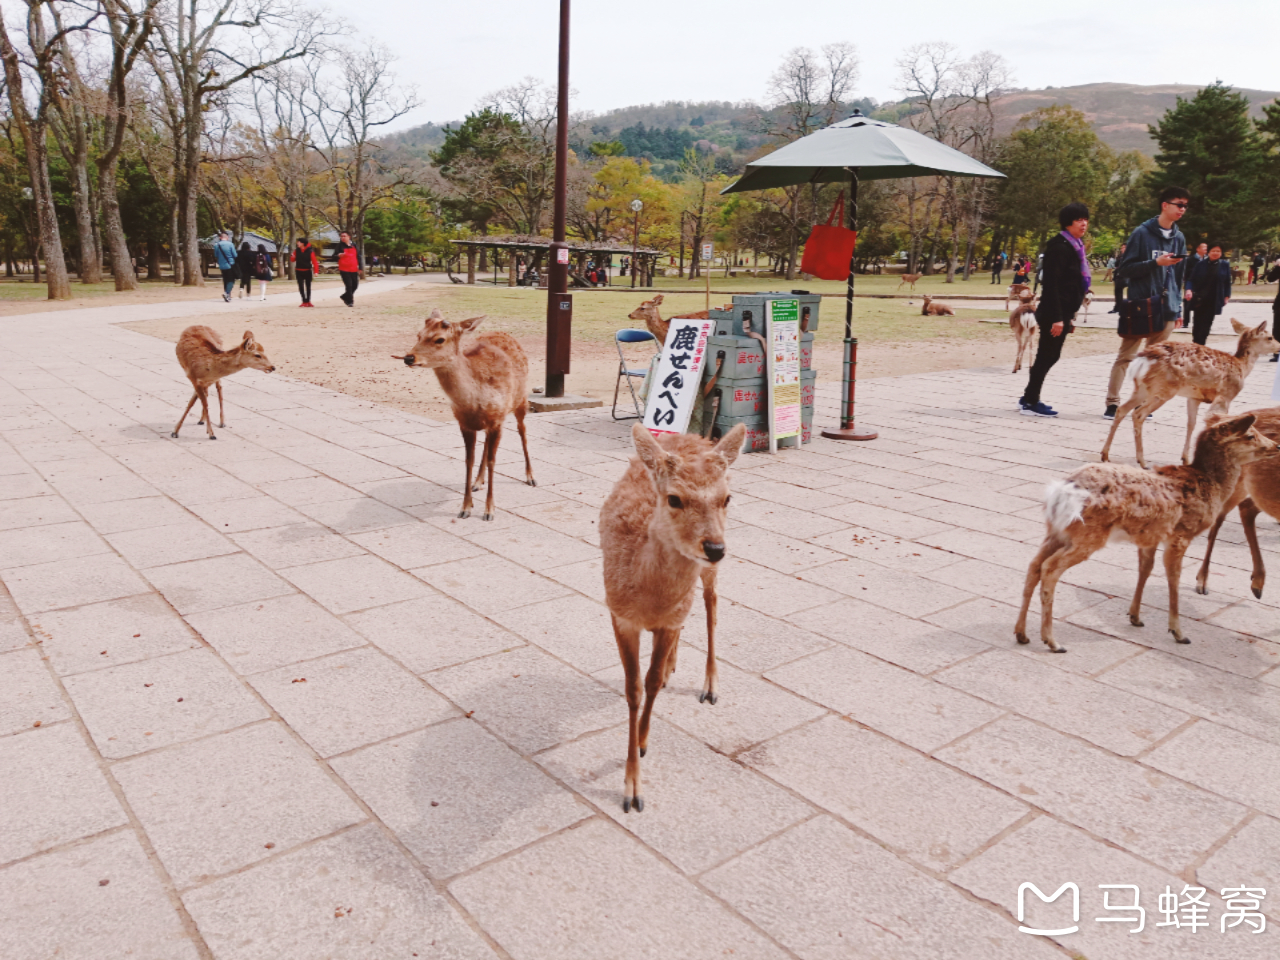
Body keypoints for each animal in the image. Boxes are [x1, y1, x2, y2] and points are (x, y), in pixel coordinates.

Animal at [401, 309, 537, 519]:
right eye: (418, 335)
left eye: (439, 339)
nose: (408, 358)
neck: (474, 400)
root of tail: (505, 333)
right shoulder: (464, 423)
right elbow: (468, 460)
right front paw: (465, 507)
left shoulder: (497, 420)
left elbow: (492, 461)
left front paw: (489, 511)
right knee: (487, 444)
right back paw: (477, 482)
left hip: (520, 400)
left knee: (522, 431)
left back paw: (530, 477)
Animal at [601, 424, 747, 814]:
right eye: (674, 499)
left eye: (727, 498)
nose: (715, 548)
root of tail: (694, 435)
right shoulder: (619, 614)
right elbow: (633, 689)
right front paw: (631, 789)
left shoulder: (668, 617)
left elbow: (649, 684)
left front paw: (641, 747)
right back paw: (673, 665)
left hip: (707, 577)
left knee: (711, 605)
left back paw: (709, 685)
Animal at [1100, 320, 1280, 471]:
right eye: (1270, 337)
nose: (1279, 347)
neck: (1242, 367)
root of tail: (1142, 360)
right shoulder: (1226, 395)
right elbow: (1214, 421)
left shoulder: (1194, 397)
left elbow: (1191, 424)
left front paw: (1185, 459)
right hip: (1163, 390)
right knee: (1138, 414)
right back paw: (1143, 462)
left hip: (1141, 389)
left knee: (1122, 410)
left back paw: (1105, 455)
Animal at [1187, 407, 1280, 601]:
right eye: (1250, 436)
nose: (1277, 446)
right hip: (1236, 483)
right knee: (1222, 518)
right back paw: (1203, 581)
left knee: (1247, 508)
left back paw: (1257, 583)